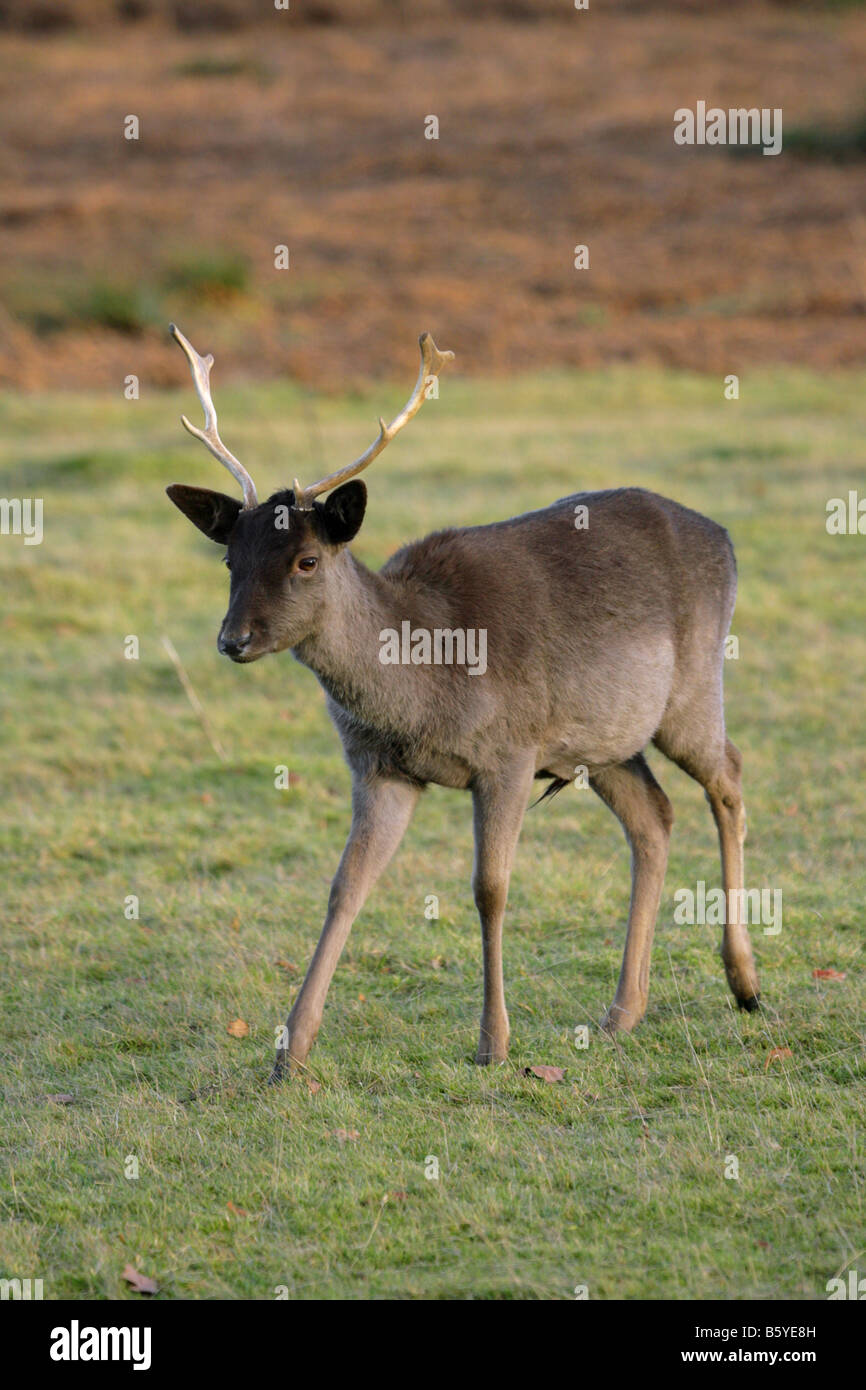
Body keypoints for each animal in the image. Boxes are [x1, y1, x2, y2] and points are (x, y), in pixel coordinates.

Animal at [166, 325, 761, 1084]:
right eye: (229, 560)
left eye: (306, 559)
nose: (233, 639)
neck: (422, 687)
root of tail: (725, 537)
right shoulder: (380, 769)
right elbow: (345, 886)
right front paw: (289, 1053)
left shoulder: (509, 754)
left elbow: (490, 889)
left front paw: (493, 1043)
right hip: (603, 743)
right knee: (654, 818)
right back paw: (623, 1010)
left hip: (691, 691)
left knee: (729, 778)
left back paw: (745, 982)